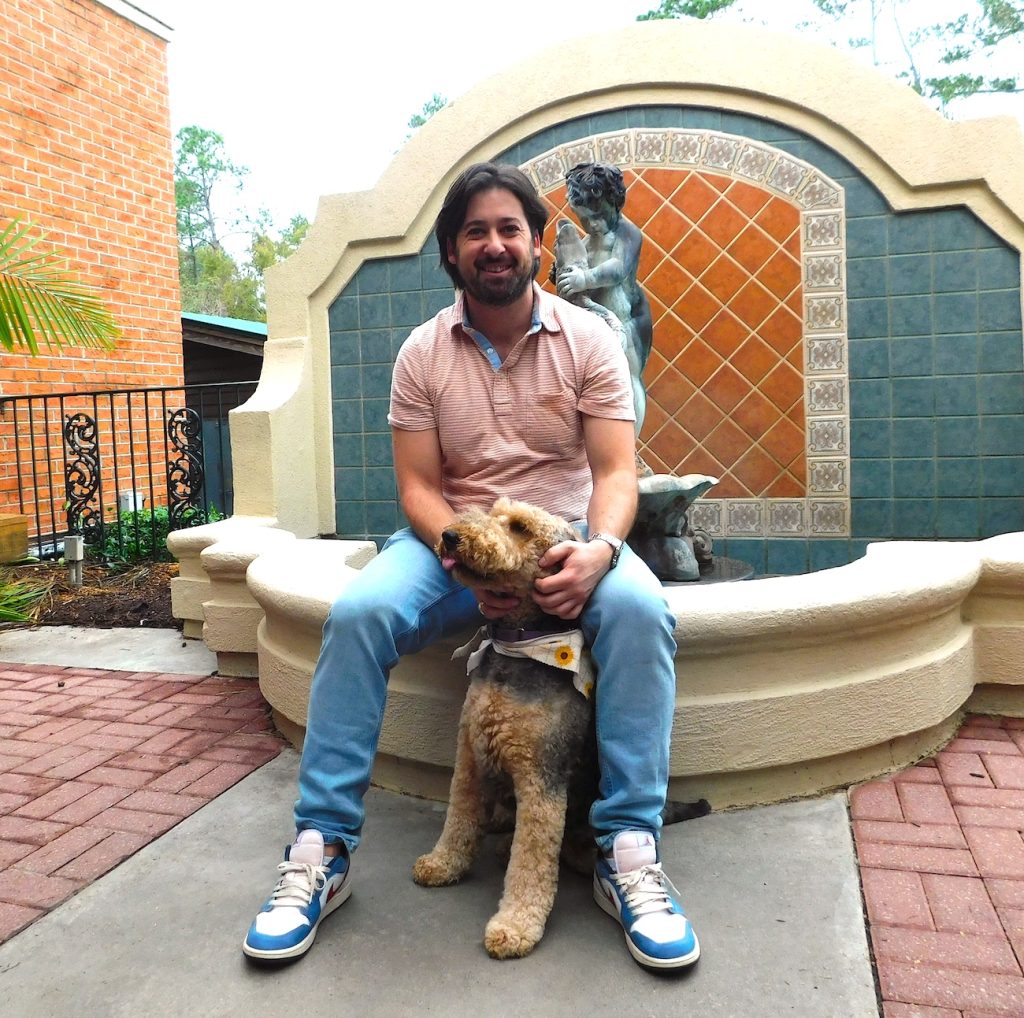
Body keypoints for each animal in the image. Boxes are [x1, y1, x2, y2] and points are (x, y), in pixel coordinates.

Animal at [411, 495, 598, 954]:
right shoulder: (469, 755)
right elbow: (458, 818)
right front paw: (442, 863)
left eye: (519, 527)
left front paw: (514, 926)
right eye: (495, 512)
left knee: (569, 850)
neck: (519, 647)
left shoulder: (540, 780)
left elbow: (531, 862)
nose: (450, 535)